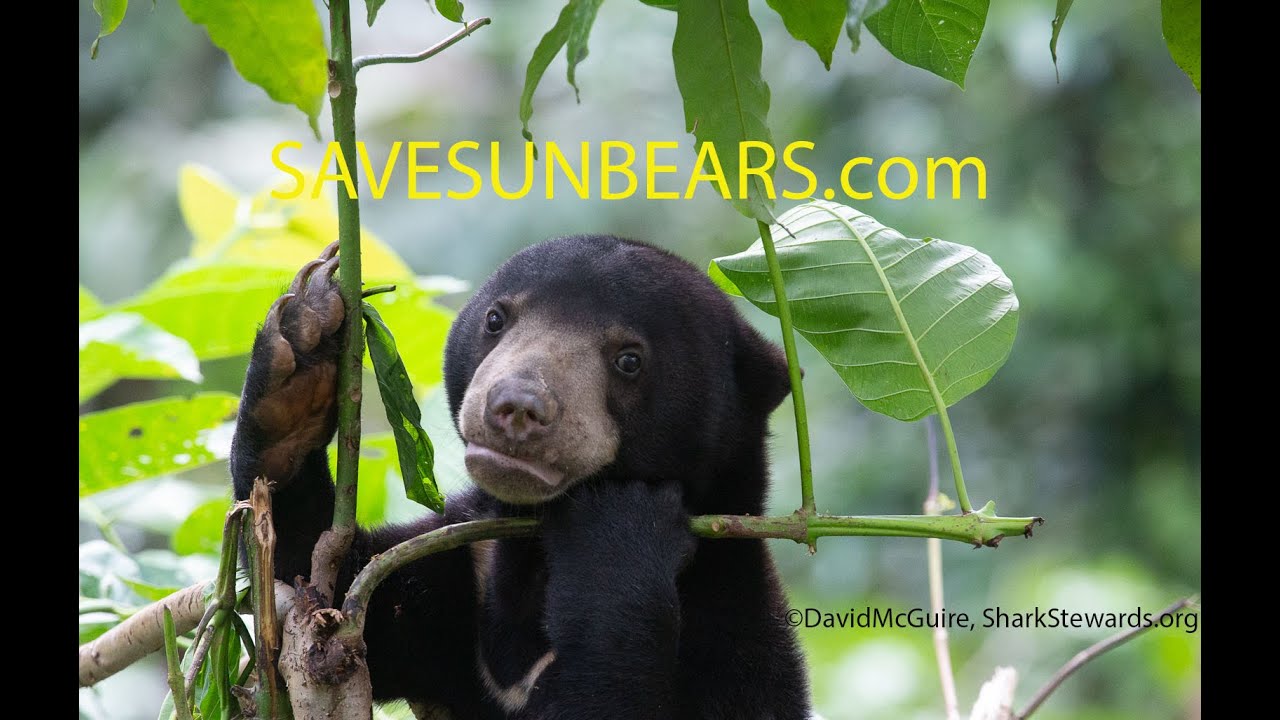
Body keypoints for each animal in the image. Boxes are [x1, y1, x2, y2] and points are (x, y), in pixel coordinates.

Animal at [230, 235, 811, 719]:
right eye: (495, 319)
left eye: (629, 360)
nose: (516, 407)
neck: (533, 551)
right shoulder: (461, 568)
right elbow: (325, 593)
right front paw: (299, 353)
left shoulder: (726, 630)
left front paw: (618, 533)